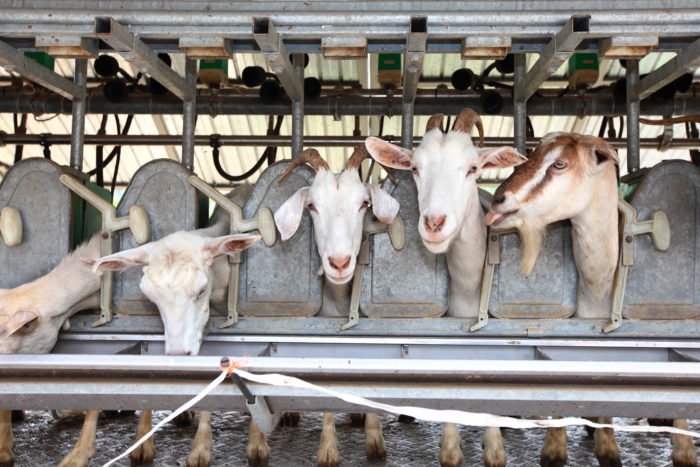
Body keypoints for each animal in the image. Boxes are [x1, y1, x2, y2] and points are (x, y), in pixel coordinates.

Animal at [365, 108, 526, 467]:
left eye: (473, 168)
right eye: (415, 168)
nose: (434, 223)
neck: (468, 287)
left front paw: (494, 449)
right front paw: (451, 450)